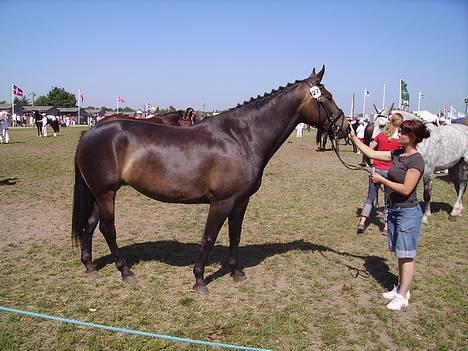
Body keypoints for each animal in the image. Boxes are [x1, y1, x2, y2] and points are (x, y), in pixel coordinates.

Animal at [72, 66, 348, 294]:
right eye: (328, 97)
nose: (345, 128)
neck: (242, 138)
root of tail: (90, 131)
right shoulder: (221, 202)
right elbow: (209, 237)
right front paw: (200, 280)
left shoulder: (241, 201)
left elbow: (235, 235)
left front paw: (236, 272)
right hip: (106, 193)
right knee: (107, 228)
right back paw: (125, 271)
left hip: (98, 194)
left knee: (90, 225)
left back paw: (89, 266)